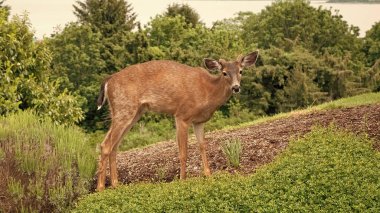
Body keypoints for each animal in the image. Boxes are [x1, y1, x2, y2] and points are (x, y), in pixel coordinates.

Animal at [96, 50, 260, 191]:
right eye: (224, 73)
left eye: (241, 71)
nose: (236, 87)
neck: (207, 92)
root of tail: (108, 80)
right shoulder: (182, 115)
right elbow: (183, 152)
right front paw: (182, 180)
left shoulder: (199, 121)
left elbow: (202, 146)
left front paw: (208, 175)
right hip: (124, 108)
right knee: (106, 145)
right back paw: (101, 188)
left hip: (134, 112)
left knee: (114, 146)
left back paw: (116, 185)